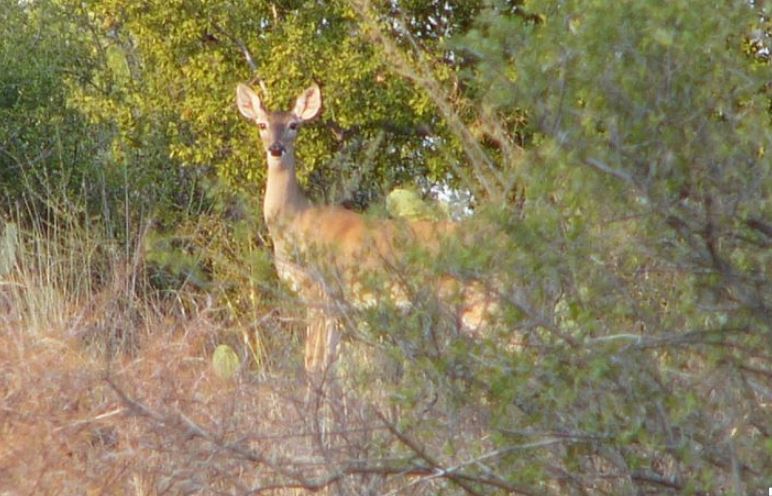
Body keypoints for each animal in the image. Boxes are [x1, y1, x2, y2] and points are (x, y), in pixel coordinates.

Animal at [235, 82, 498, 376]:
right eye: (261, 124)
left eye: (294, 125)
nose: (276, 148)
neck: (296, 222)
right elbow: (329, 361)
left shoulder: (323, 291)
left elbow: (313, 363)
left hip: (479, 302)